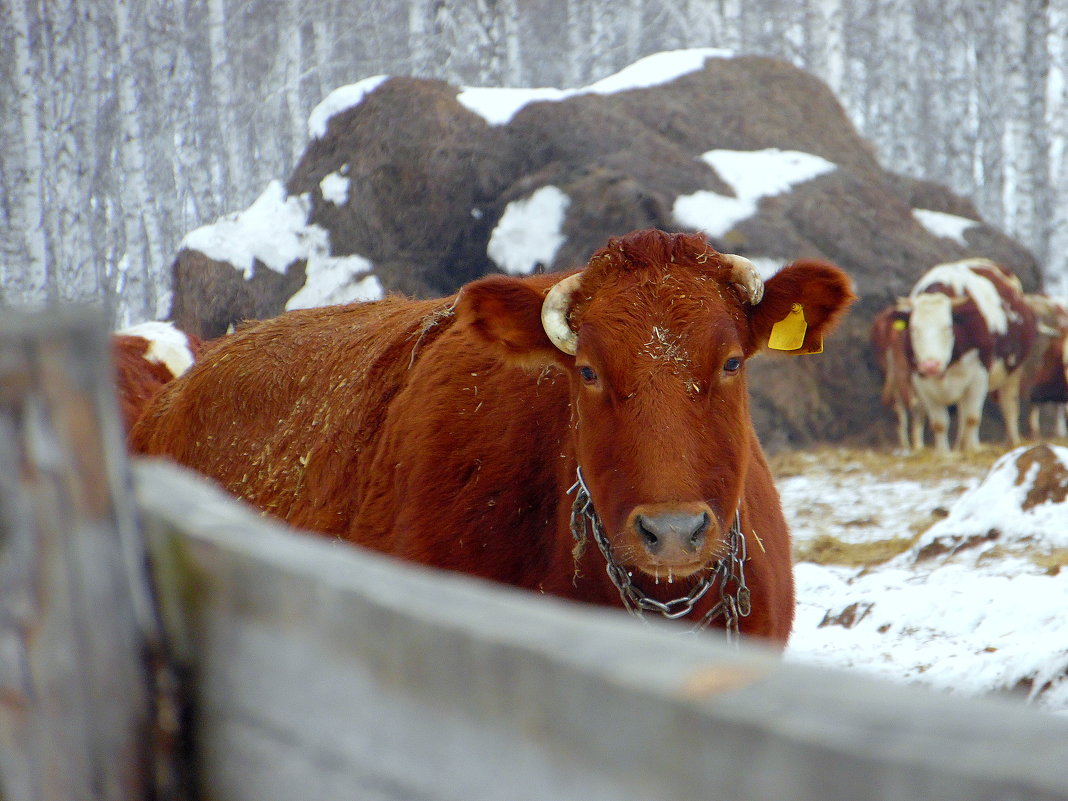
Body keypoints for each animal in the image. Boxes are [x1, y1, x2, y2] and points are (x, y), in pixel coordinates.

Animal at [897, 260, 1038, 454]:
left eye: (948, 327)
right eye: (913, 329)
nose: (931, 365)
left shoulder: (979, 375)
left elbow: (972, 418)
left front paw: (972, 450)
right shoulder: (920, 380)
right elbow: (939, 423)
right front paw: (944, 454)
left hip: (1013, 371)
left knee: (1009, 406)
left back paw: (1013, 442)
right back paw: (959, 447)